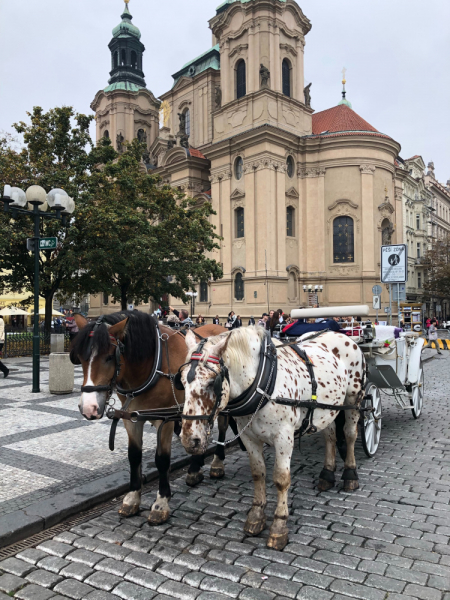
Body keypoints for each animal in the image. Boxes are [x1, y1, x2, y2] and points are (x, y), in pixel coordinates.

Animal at [71, 312, 230, 528]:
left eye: (110, 357)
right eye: (80, 358)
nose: (89, 408)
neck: (151, 366)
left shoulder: (166, 420)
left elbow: (162, 460)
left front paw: (161, 503)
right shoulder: (132, 418)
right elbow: (134, 456)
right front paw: (132, 498)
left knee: (221, 428)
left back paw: (217, 464)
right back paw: (194, 470)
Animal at [178, 326, 366, 552]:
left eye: (210, 382)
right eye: (181, 382)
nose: (190, 440)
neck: (262, 383)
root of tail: (343, 334)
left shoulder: (284, 438)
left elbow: (281, 479)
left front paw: (279, 526)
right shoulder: (249, 437)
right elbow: (258, 474)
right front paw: (256, 516)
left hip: (353, 399)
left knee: (349, 434)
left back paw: (350, 475)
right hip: (327, 407)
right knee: (329, 435)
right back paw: (327, 475)